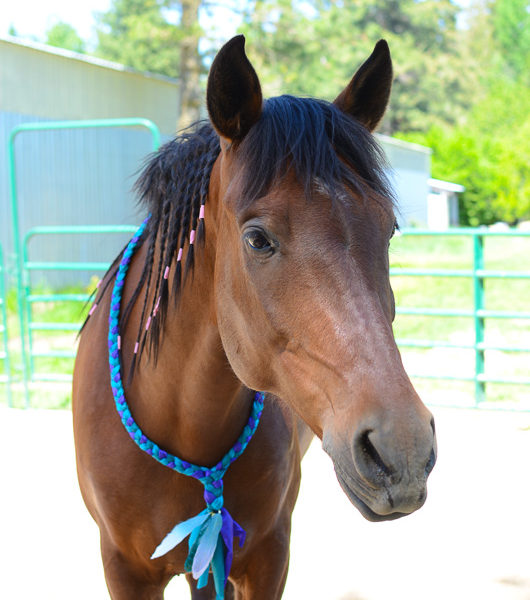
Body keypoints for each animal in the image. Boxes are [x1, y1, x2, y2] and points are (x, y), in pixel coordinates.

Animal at [73, 35, 434, 596]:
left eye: (390, 228)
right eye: (258, 239)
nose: (404, 450)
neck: (182, 424)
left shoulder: (266, 556)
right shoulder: (124, 567)